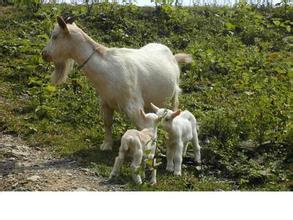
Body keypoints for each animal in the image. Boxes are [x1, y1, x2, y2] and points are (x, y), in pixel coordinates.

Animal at [41, 16, 192, 151]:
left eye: (55, 36)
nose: (44, 54)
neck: (107, 68)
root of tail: (173, 56)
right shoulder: (106, 102)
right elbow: (108, 123)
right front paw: (107, 145)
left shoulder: (133, 106)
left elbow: (142, 127)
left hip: (174, 94)